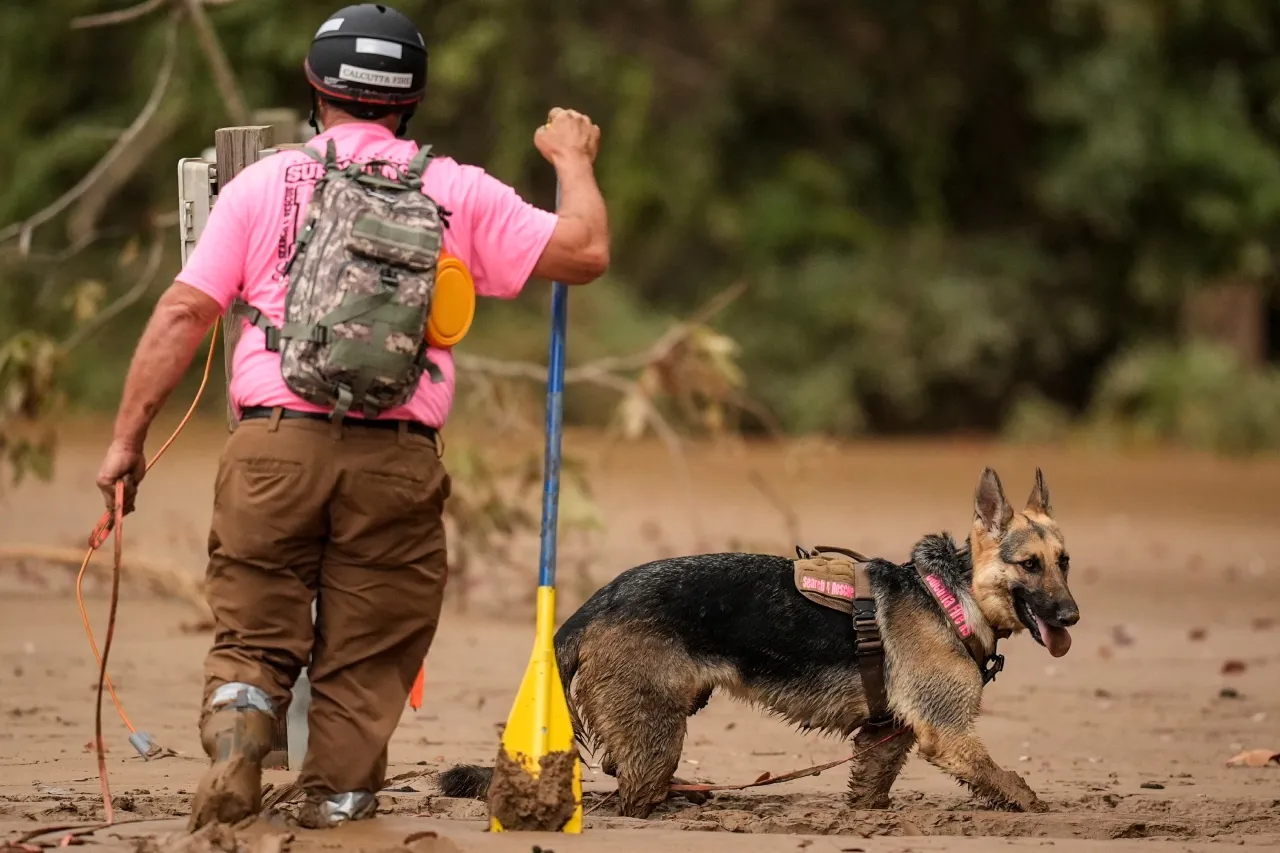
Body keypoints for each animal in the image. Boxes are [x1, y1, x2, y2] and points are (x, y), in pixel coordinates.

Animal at [442, 468, 1080, 814]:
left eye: (1065, 562)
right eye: (1028, 565)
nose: (1072, 616)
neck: (951, 594)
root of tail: (594, 603)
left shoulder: (886, 738)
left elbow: (870, 789)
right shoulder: (947, 736)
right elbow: (1012, 783)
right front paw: (1040, 810)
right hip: (657, 735)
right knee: (629, 798)